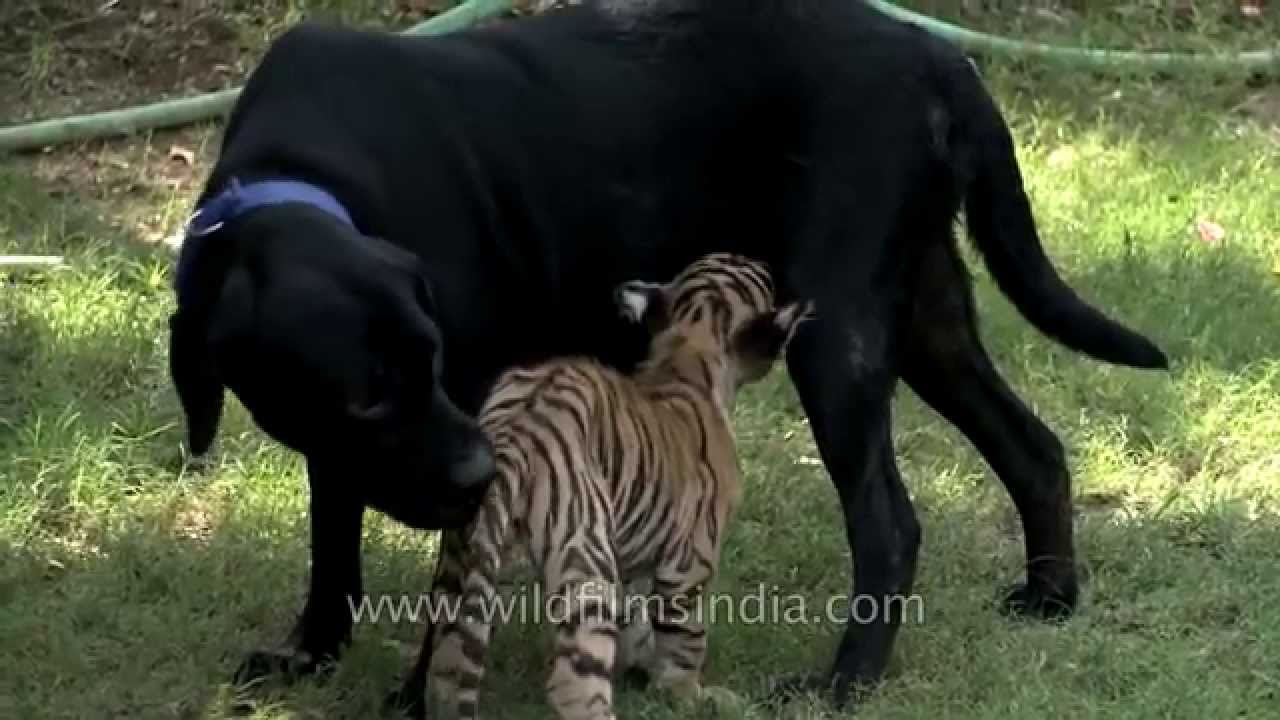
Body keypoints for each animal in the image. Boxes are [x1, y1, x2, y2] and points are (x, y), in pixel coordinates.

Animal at [393, 253, 813, 720]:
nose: (759, 259)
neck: (688, 348)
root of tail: (517, 435)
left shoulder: (634, 560)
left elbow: (639, 623)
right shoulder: (691, 562)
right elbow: (684, 641)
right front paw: (690, 696)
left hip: (464, 564)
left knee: (448, 667)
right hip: (585, 560)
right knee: (574, 685)